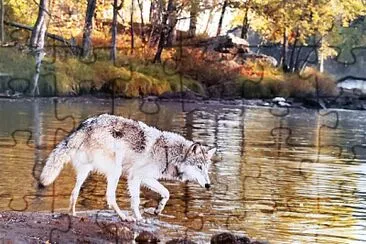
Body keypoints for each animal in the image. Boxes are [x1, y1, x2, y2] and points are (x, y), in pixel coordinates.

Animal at [39, 113, 217, 222]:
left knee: (74, 193)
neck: (169, 153)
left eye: (206, 169)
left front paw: (158, 210)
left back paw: (73, 215)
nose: (208, 185)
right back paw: (124, 217)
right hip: (115, 172)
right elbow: (136, 201)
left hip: (85, 172)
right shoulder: (135, 177)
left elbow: (166, 193)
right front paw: (139, 218)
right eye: (199, 167)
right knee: (110, 197)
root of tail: (85, 126)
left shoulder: (146, 178)